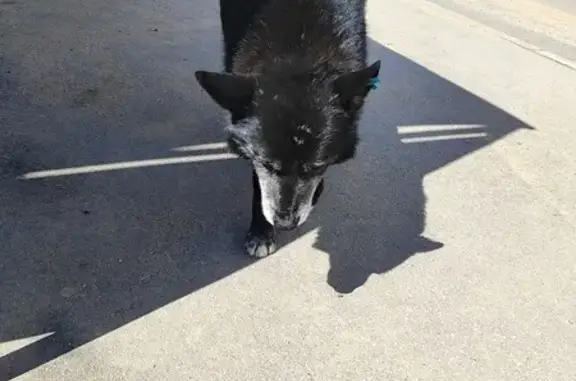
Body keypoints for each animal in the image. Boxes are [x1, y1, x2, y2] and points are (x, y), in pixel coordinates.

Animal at [196, 0, 380, 256]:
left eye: (316, 166)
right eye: (266, 164)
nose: (285, 224)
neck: (299, 45)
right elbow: (259, 186)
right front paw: (261, 231)